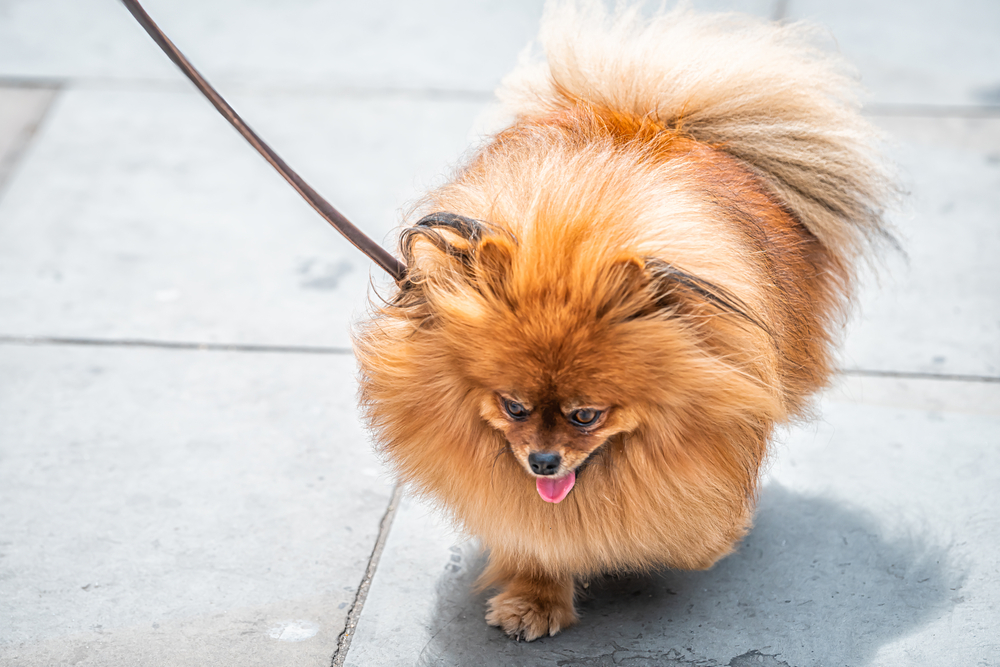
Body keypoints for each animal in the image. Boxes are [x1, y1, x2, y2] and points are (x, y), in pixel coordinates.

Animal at [352, 2, 892, 644]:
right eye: (513, 407)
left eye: (586, 415)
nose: (542, 462)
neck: (569, 247)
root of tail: (649, 112)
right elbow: (533, 532)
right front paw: (533, 600)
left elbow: (689, 518)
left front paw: (702, 540)